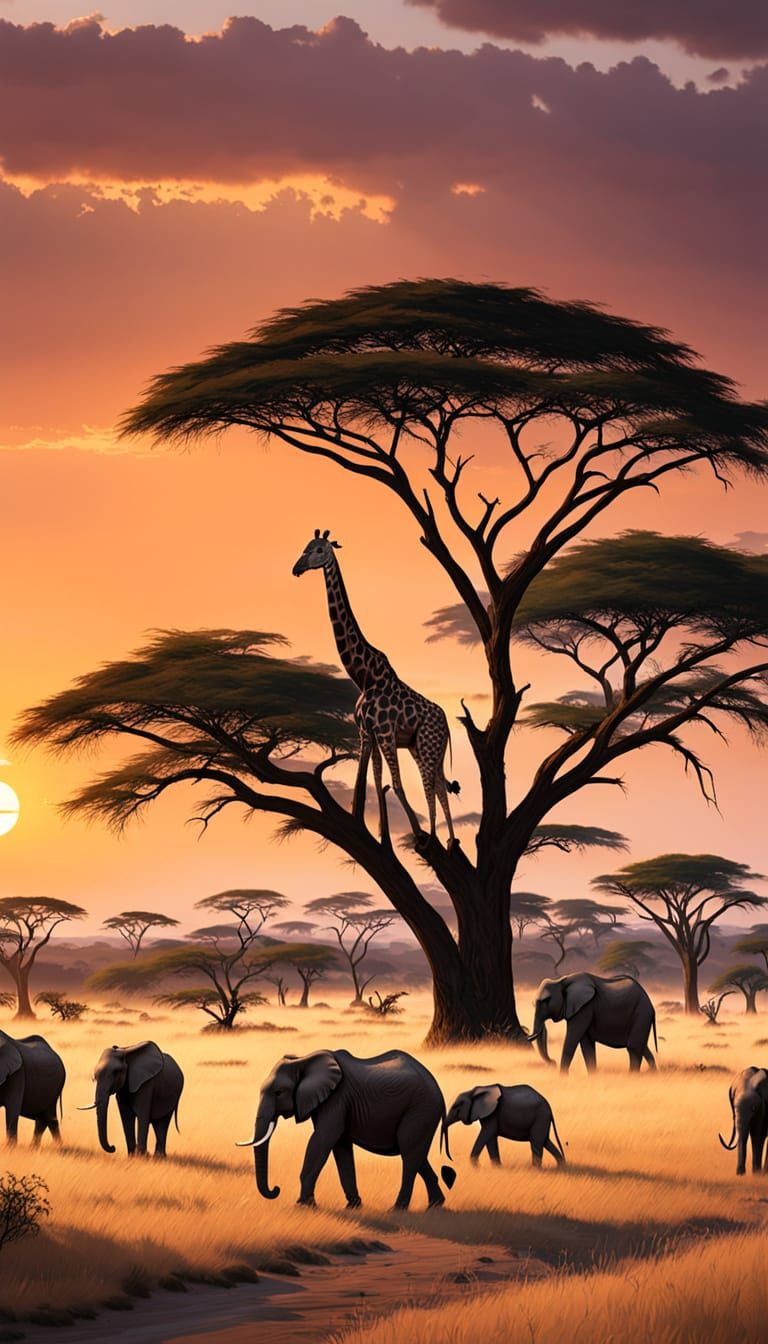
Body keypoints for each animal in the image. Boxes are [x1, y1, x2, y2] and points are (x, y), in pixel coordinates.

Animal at [238, 1048, 455, 1210]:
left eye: (279, 1092)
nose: (276, 1189)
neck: (304, 1059)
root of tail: (438, 1089)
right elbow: (340, 1146)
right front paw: (353, 1206)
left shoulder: (336, 1099)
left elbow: (323, 1139)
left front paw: (302, 1205)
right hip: (422, 1113)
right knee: (416, 1155)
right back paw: (436, 1205)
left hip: (421, 1109)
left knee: (409, 1155)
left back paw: (397, 1209)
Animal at [292, 529, 460, 843]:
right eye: (304, 548)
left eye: (318, 550)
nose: (296, 568)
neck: (365, 676)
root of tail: (445, 722)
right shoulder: (366, 733)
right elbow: (370, 780)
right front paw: (381, 832)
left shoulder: (384, 732)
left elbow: (395, 783)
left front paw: (415, 832)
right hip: (423, 746)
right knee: (439, 785)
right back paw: (450, 840)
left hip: (427, 743)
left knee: (430, 786)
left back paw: (432, 836)